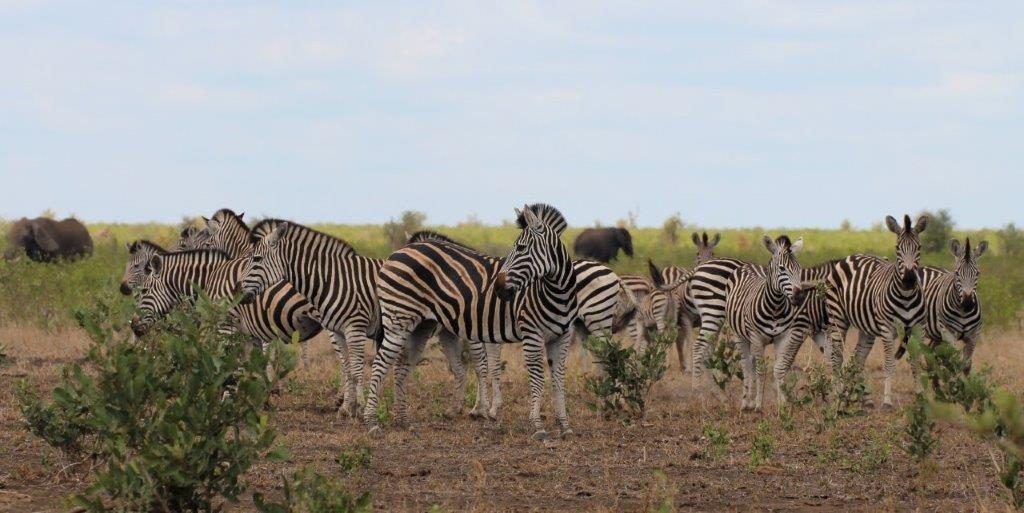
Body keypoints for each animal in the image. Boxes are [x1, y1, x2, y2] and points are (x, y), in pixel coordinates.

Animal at [366, 203, 577, 440]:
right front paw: (537, 426)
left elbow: (558, 379)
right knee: (380, 363)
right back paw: (372, 422)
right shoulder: (530, 333)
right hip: (398, 319)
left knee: (402, 366)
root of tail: (396, 254)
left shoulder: (562, 336)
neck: (557, 291)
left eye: (522, 248)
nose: (499, 289)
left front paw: (564, 426)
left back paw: (404, 421)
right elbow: (534, 378)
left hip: (419, 327)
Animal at [823, 214, 929, 405]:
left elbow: (916, 362)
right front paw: (887, 401)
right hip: (838, 318)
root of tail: (851, 256)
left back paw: (862, 398)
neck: (907, 297)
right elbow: (889, 364)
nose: (909, 279)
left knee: (858, 357)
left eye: (919, 247)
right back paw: (838, 394)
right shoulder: (887, 329)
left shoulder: (919, 328)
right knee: (837, 356)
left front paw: (920, 396)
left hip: (867, 328)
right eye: (897, 248)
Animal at [901, 235, 987, 372]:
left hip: (936, 335)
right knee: (917, 357)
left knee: (930, 353)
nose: (968, 303)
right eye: (957, 273)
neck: (963, 312)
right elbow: (953, 362)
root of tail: (922, 267)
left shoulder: (974, 336)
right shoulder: (948, 332)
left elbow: (966, 366)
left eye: (977, 273)